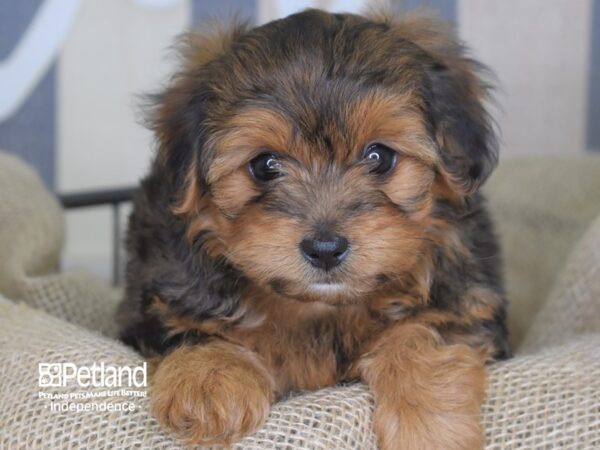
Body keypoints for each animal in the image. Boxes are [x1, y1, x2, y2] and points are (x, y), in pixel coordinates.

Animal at [118, 7, 510, 450]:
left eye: (379, 156)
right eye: (264, 165)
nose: (325, 248)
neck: (320, 307)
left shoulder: (465, 296)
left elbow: (424, 331)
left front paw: (428, 423)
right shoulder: (159, 297)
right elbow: (192, 328)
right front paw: (207, 384)